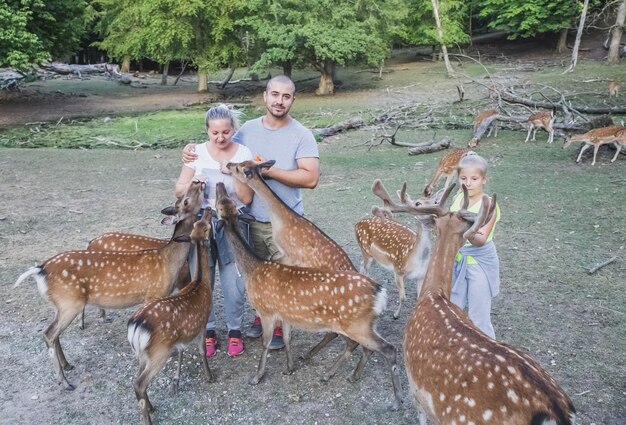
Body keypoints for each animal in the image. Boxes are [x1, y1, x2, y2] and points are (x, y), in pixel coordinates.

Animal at [12, 181, 202, 390]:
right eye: (185, 200)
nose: (198, 182)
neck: (169, 261)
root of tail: (40, 270)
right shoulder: (154, 293)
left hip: (61, 303)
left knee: (54, 333)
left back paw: (68, 365)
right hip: (70, 302)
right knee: (49, 334)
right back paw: (65, 381)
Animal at [127, 207, 214, 424]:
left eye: (199, 225)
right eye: (206, 227)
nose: (208, 210)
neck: (201, 283)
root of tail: (135, 325)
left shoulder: (181, 337)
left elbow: (182, 351)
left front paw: (177, 381)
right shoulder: (203, 321)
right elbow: (202, 350)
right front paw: (209, 376)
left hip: (142, 353)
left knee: (136, 380)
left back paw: (151, 406)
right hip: (159, 351)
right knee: (140, 383)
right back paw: (148, 417)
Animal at [214, 181, 400, 408]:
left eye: (222, 203)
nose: (220, 184)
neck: (252, 269)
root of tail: (380, 294)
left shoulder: (266, 311)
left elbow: (266, 343)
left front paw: (256, 377)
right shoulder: (284, 313)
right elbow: (286, 338)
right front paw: (289, 368)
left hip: (355, 325)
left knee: (386, 349)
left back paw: (395, 400)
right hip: (361, 324)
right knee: (364, 347)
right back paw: (348, 375)